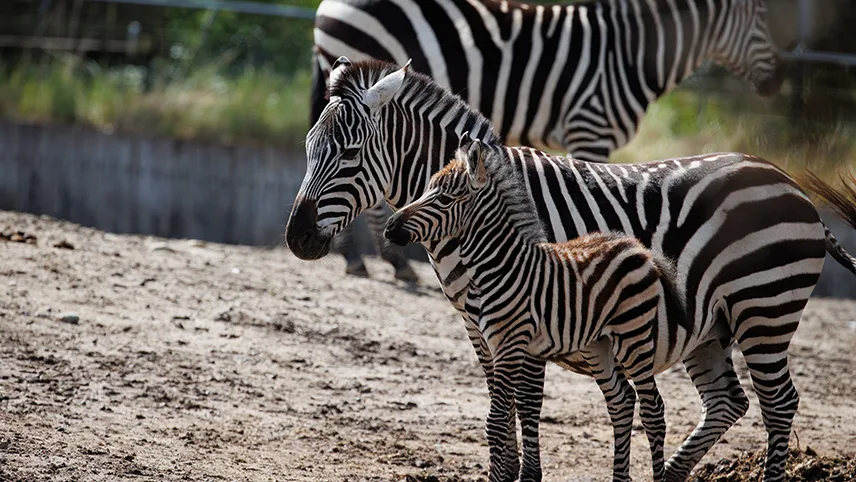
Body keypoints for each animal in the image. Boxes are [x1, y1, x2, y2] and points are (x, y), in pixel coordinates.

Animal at [384, 137, 692, 482]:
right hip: (597, 344)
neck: (500, 266)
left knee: (653, 410)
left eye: (446, 198)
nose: (389, 228)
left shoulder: (509, 343)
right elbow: (502, 417)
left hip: (633, 337)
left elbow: (497, 420)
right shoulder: (495, 344)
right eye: (427, 190)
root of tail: (639, 249)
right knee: (621, 401)